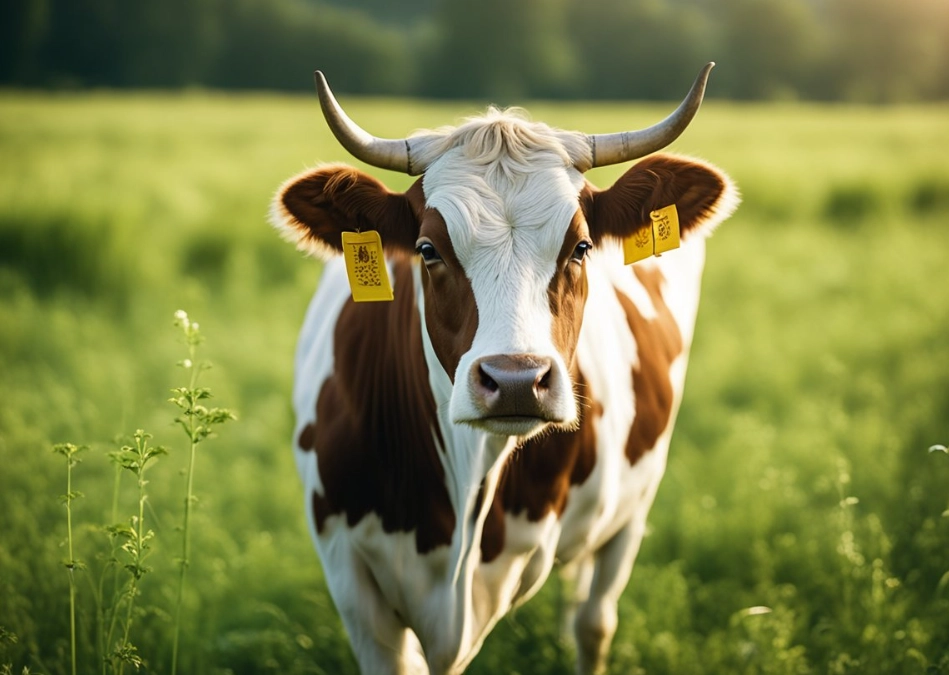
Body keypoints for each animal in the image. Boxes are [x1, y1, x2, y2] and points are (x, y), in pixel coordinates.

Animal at [270, 63, 739, 675]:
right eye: (427, 248)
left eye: (581, 247)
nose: (516, 381)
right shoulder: (349, 576)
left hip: (635, 504)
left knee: (595, 620)